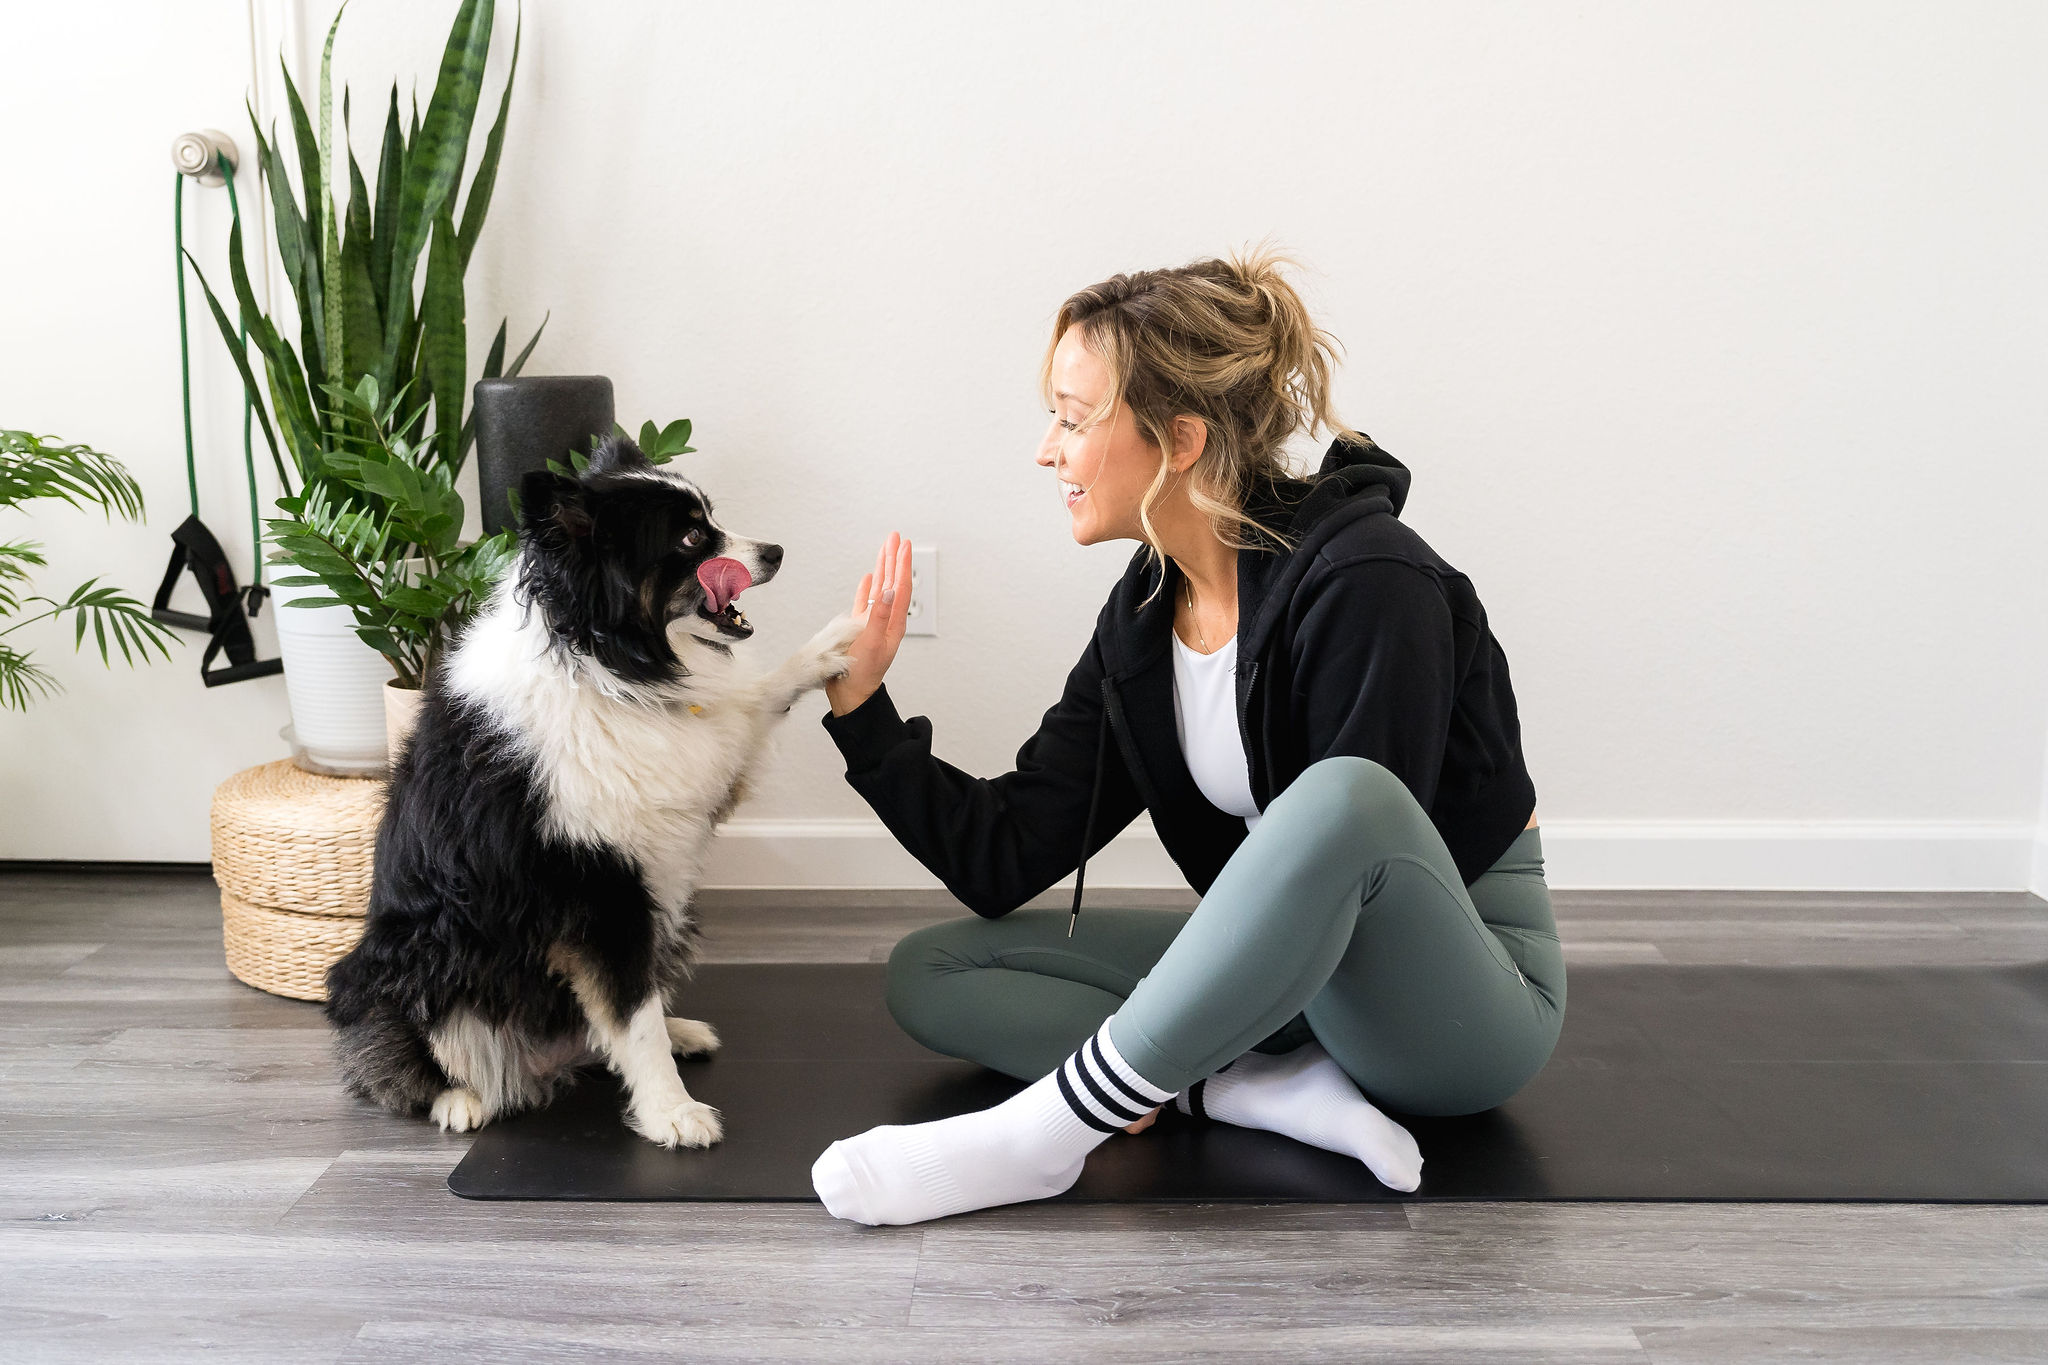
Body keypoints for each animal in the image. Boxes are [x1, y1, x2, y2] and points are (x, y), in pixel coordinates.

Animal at [321, 435, 864, 1146]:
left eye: (711, 516)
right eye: (692, 537)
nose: (775, 551)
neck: (609, 669)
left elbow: (757, 696)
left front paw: (831, 644)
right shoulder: (600, 888)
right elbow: (632, 1017)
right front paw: (673, 1113)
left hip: (669, 916)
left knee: (605, 1023)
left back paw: (679, 1030)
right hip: (421, 957)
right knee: (404, 1054)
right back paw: (461, 1098)